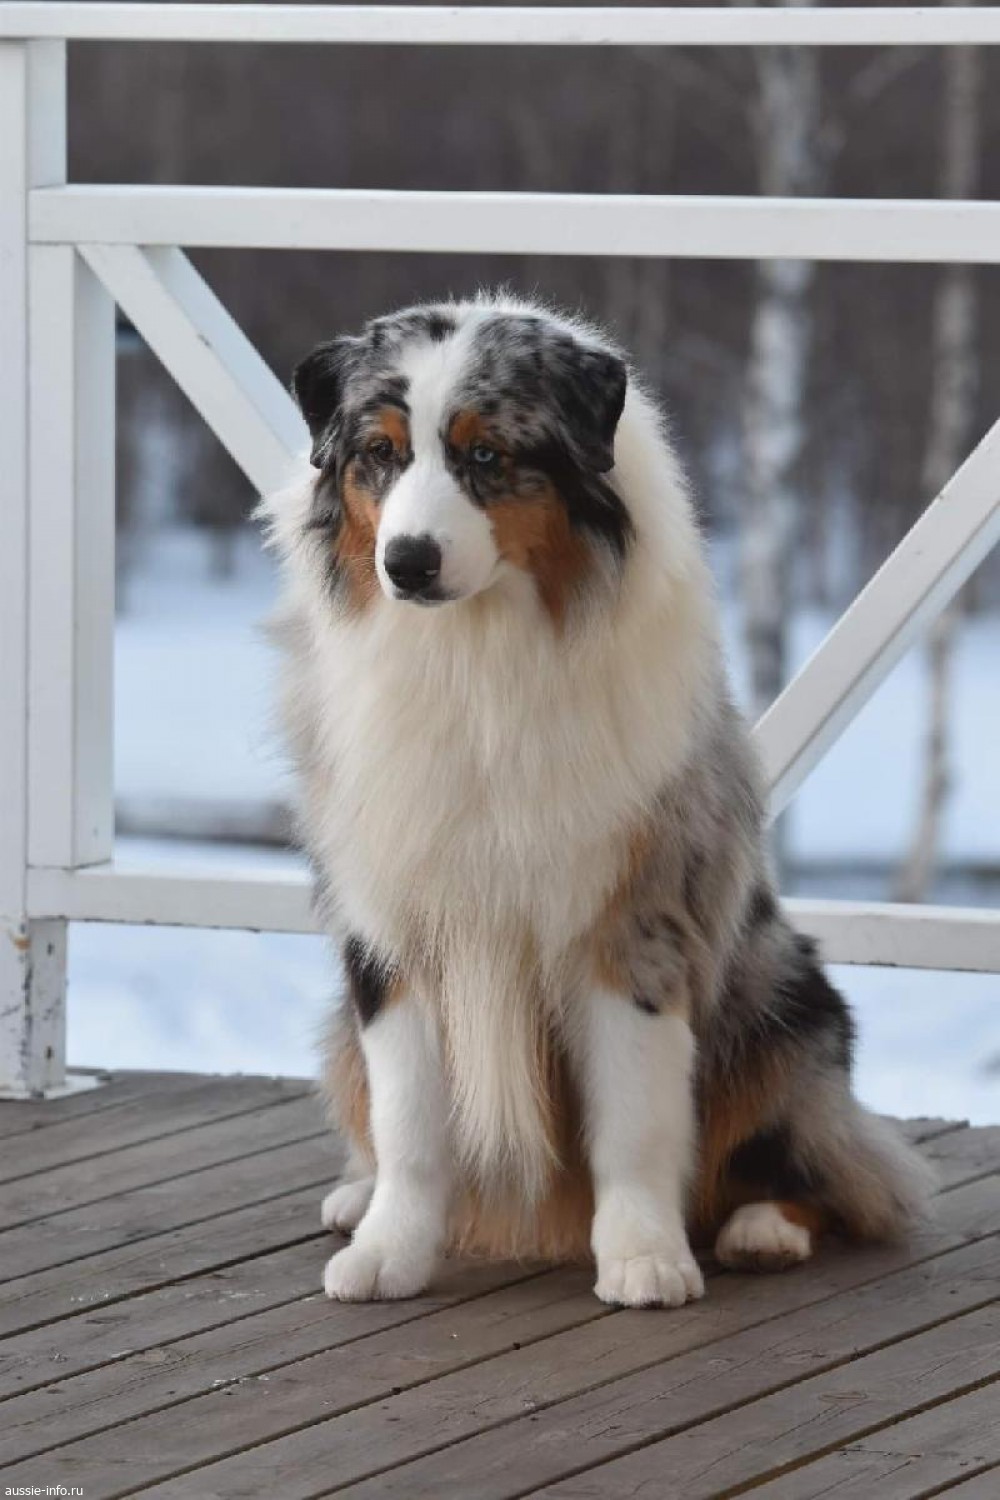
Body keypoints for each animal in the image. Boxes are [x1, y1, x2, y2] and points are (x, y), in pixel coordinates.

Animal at [260, 293, 932, 1308]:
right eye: (378, 453)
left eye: (485, 456)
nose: (407, 563)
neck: (477, 658)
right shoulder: (394, 921)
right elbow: (411, 1120)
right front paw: (389, 1251)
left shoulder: (631, 915)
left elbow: (635, 1114)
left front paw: (645, 1257)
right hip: (342, 1023)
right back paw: (355, 1192)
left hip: (783, 994)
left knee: (829, 1159)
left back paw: (764, 1227)